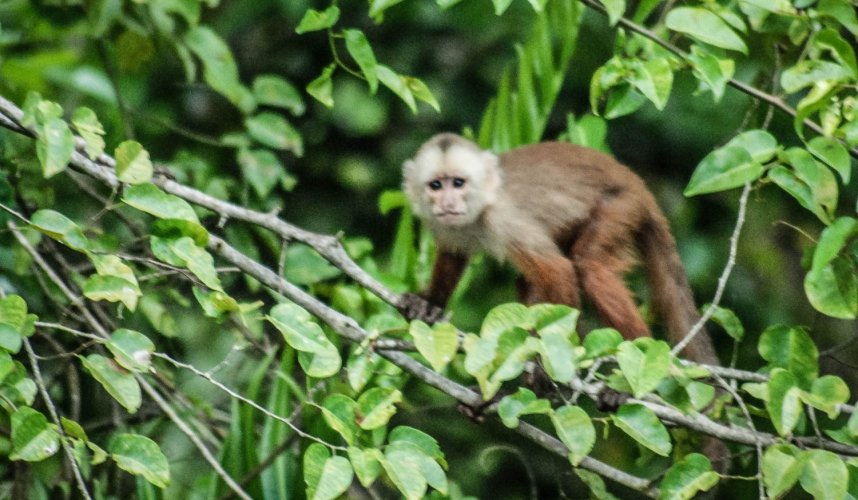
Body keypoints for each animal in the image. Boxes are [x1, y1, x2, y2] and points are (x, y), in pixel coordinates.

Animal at [398, 133, 720, 368]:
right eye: (436, 185)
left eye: (458, 183)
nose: (447, 202)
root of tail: (634, 180)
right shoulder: (441, 224)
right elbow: (453, 255)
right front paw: (429, 303)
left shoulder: (504, 218)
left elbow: (559, 271)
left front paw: (547, 361)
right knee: (529, 279)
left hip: (623, 205)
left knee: (588, 266)